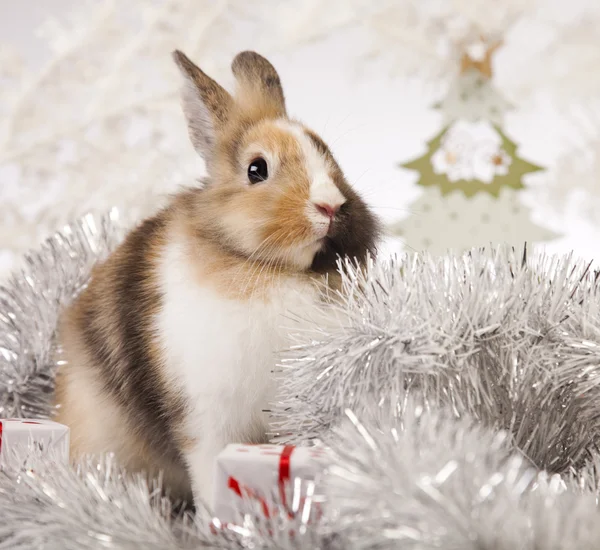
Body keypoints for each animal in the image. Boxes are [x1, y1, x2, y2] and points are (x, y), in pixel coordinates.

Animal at [52, 49, 380, 512]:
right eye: (257, 169)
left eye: (331, 157)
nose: (330, 205)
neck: (269, 269)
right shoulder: (207, 419)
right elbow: (208, 474)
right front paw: (215, 520)